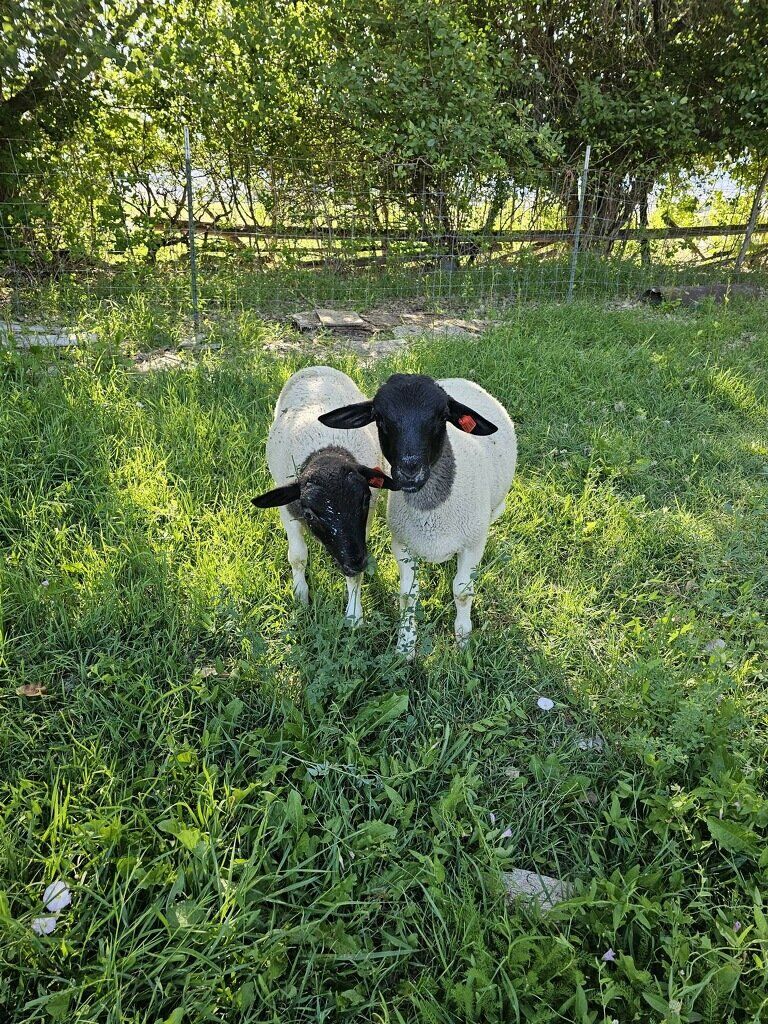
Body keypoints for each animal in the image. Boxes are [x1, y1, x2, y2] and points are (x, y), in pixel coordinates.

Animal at [252, 366, 395, 623]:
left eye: (364, 501)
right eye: (310, 514)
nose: (356, 563)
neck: (327, 452)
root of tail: (315, 367)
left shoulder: (364, 524)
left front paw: (354, 614)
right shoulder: (288, 511)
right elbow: (297, 556)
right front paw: (300, 595)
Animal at [319, 373, 517, 655]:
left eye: (442, 416)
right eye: (379, 418)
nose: (409, 470)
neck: (432, 513)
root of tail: (457, 378)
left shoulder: (471, 544)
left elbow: (462, 592)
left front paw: (463, 641)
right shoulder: (402, 545)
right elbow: (408, 595)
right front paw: (405, 646)